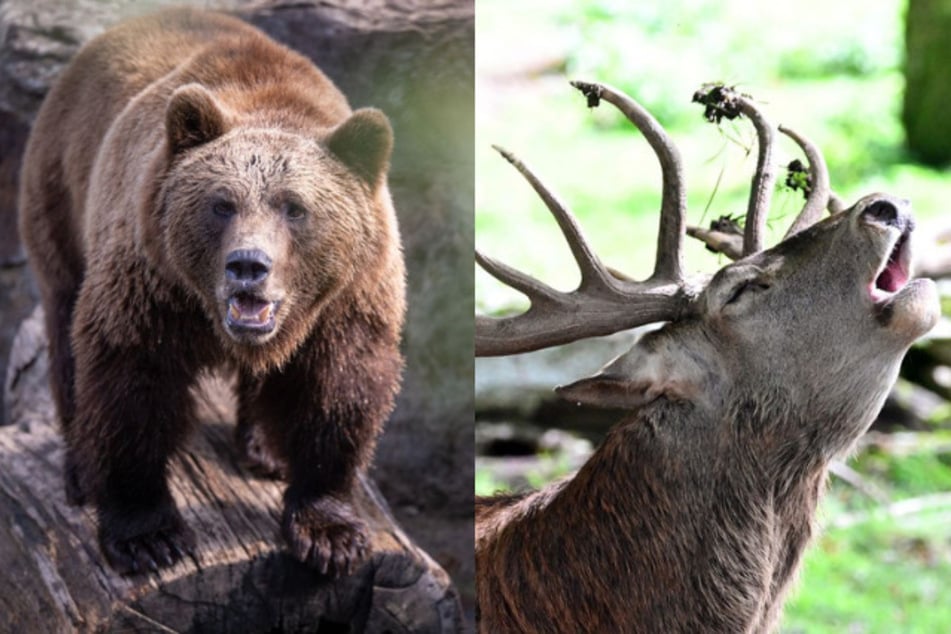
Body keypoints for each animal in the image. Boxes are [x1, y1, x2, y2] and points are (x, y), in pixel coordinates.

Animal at [17, 7, 405, 577]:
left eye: (294, 207)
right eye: (222, 204)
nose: (248, 266)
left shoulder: (347, 299)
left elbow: (338, 392)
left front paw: (329, 532)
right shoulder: (152, 285)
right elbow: (129, 383)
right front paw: (148, 536)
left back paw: (266, 448)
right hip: (62, 192)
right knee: (65, 324)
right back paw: (79, 469)